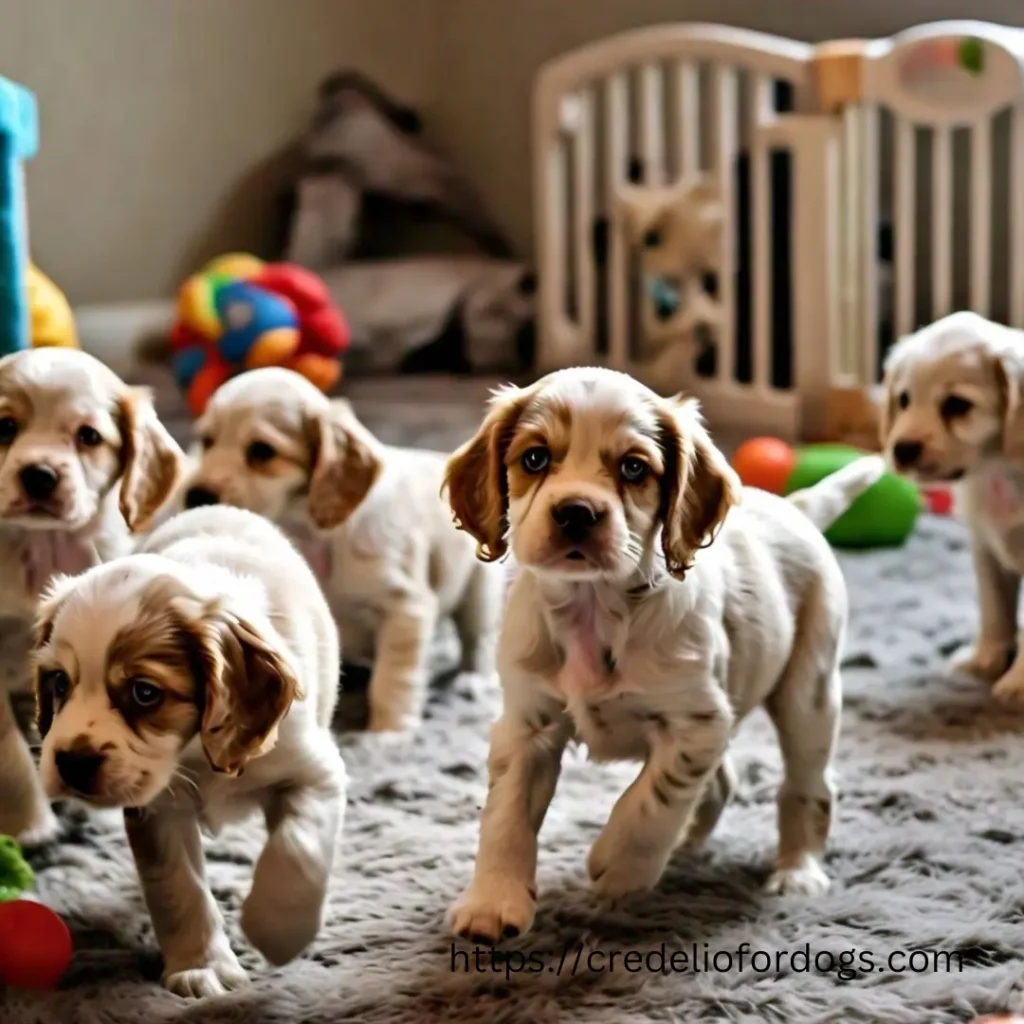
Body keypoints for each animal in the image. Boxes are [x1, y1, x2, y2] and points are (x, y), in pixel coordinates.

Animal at [0, 348, 184, 843]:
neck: (41, 544)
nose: (39, 475)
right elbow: (10, 754)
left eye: (89, 436)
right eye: (5, 426)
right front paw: (31, 826)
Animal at [186, 368, 505, 737]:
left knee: (477, 642)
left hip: (480, 595)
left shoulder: (406, 608)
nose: (196, 495)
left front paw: (389, 733)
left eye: (262, 452)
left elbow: (392, 679)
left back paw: (472, 683)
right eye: (206, 441)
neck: (311, 531)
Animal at [440, 366, 880, 942]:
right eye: (534, 458)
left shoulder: (697, 720)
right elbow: (505, 816)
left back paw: (796, 871)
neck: (595, 606)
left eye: (633, 467)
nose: (576, 512)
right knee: (723, 781)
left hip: (809, 692)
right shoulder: (527, 723)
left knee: (808, 785)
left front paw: (621, 864)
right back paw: (688, 848)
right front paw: (492, 904)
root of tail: (791, 505)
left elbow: (654, 798)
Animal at [876, 307, 1024, 700]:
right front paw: (983, 661)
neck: (1000, 470)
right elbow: (994, 609)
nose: (902, 449)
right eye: (904, 399)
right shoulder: (985, 547)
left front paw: (1016, 682)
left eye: (958, 405)